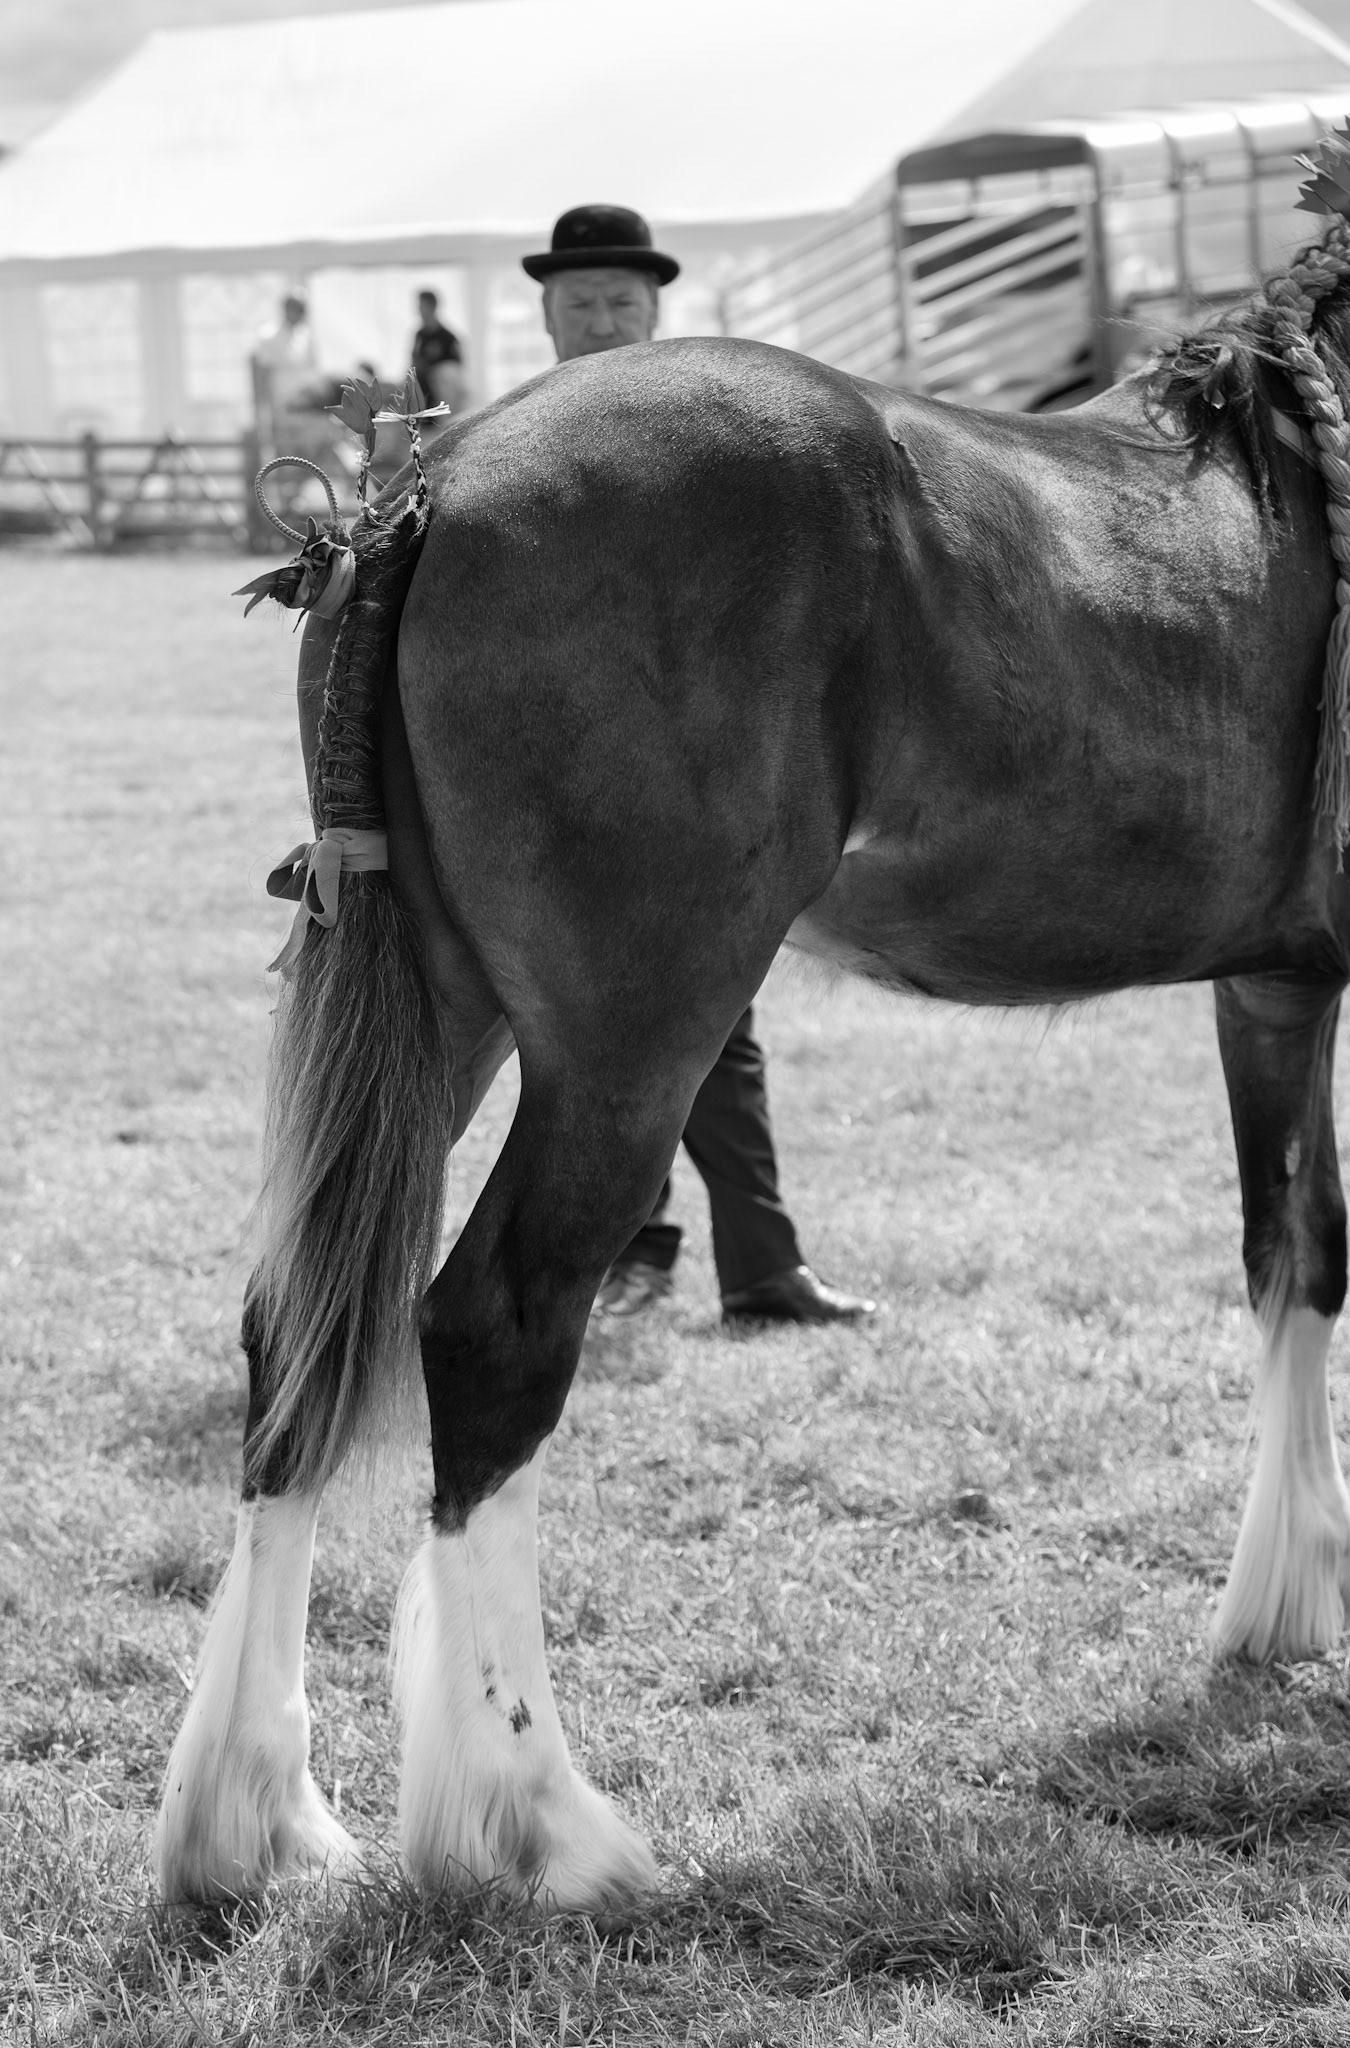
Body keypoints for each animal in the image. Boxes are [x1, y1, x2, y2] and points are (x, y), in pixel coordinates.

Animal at [154, 210, 1350, 1914]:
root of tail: (423, 491)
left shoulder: (1271, 989)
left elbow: (1292, 1255)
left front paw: (1282, 1607)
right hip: (631, 1034)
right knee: (492, 1328)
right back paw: (535, 1825)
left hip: (444, 1014)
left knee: (296, 1331)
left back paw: (249, 1816)